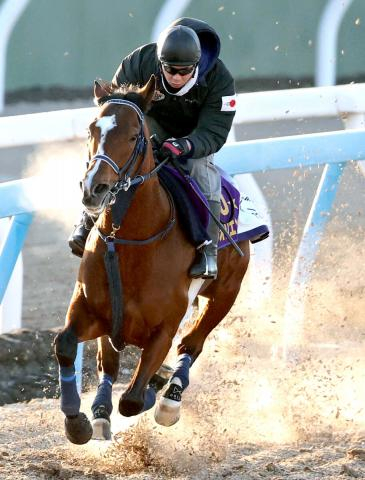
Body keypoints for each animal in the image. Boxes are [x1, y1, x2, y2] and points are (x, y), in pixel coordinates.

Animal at [54, 75, 250, 446]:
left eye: (134, 135)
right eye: (92, 129)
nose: (93, 189)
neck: (128, 241)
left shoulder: (164, 328)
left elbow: (132, 399)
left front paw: (155, 387)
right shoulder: (91, 311)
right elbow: (65, 346)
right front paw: (78, 423)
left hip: (224, 294)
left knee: (192, 344)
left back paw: (169, 397)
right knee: (108, 365)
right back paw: (100, 412)